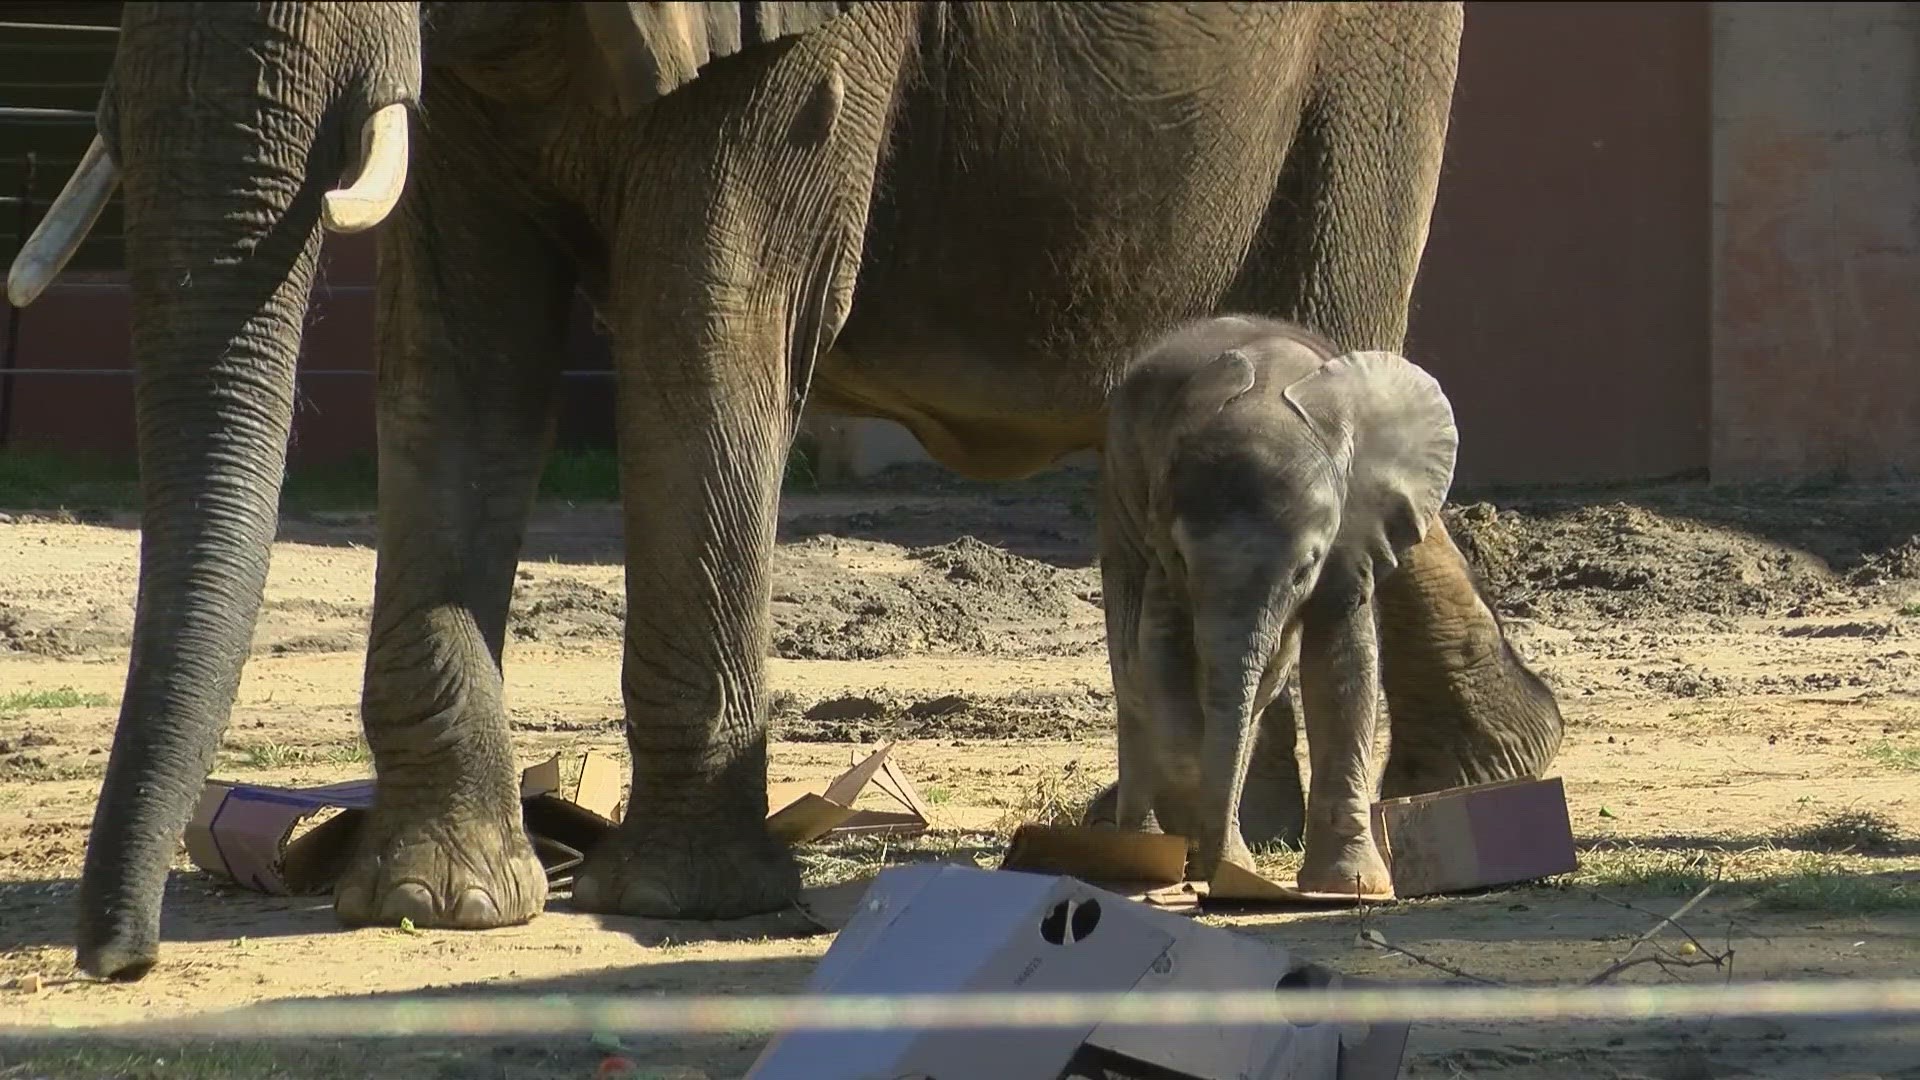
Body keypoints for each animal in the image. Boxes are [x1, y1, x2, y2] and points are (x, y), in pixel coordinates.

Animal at [1098, 313, 1451, 891]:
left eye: (1305, 568)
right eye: (1183, 558)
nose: (1205, 866)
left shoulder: (1353, 531)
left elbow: (1343, 663)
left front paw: (1351, 885)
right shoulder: (1157, 533)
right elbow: (1161, 653)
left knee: (1263, 684)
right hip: (1118, 506)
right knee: (1133, 667)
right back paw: (1146, 857)